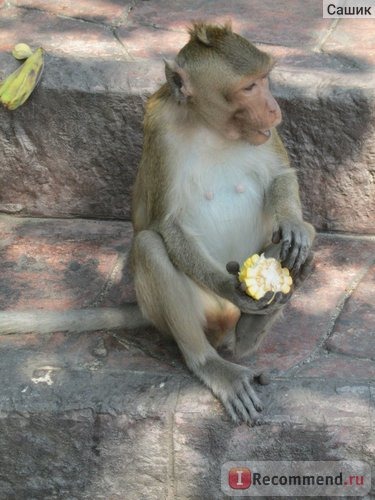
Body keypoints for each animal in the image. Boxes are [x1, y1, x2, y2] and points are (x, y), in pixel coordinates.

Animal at [0, 21, 316, 424]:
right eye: (249, 87)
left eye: (265, 79)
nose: (274, 108)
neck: (211, 127)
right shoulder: (161, 132)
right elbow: (167, 224)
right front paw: (230, 287)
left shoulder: (263, 134)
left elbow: (280, 176)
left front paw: (293, 228)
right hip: (190, 312)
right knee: (150, 246)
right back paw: (211, 363)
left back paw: (258, 321)